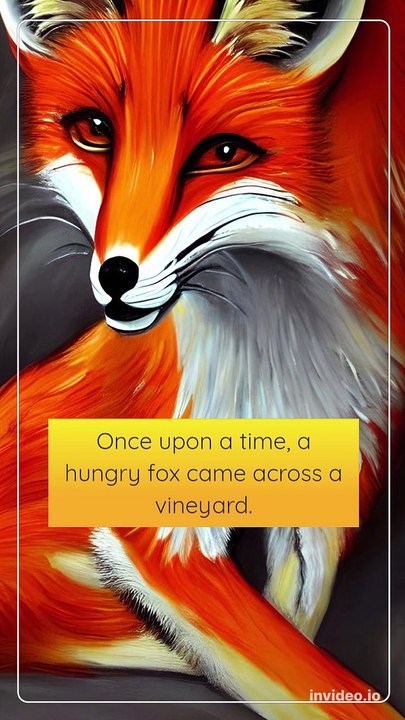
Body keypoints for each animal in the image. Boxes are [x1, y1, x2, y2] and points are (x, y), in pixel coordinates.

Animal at [0, 0, 404, 718]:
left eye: (223, 153)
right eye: (93, 131)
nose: (116, 276)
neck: (283, 343)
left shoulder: (336, 473)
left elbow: (301, 637)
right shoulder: (159, 528)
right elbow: (308, 675)